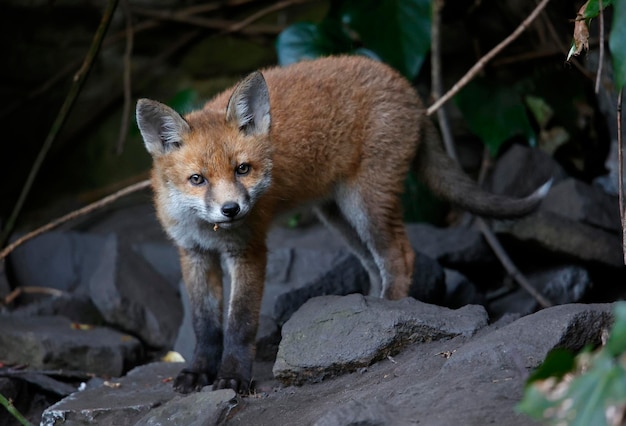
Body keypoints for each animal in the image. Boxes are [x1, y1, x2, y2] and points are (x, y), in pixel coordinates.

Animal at [135, 55, 544, 394]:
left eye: (242, 169)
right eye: (197, 179)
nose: (232, 209)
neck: (209, 230)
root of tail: (404, 85)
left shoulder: (248, 251)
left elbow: (239, 323)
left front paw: (233, 376)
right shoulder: (193, 254)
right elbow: (204, 325)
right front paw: (199, 372)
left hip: (364, 205)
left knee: (400, 256)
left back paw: (390, 315)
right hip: (339, 218)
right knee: (374, 265)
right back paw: (366, 312)